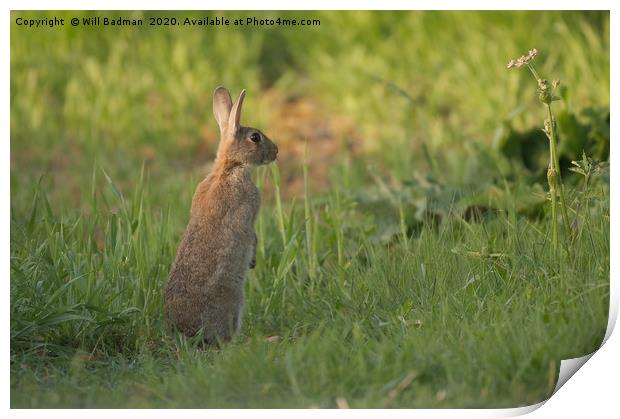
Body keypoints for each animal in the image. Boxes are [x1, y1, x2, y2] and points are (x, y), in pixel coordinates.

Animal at [166, 86, 280, 344]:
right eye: (255, 137)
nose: (276, 151)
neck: (229, 167)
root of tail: (186, 331)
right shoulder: (247, 214)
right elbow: (250, 235)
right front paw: (253, 260)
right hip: (234, 299)